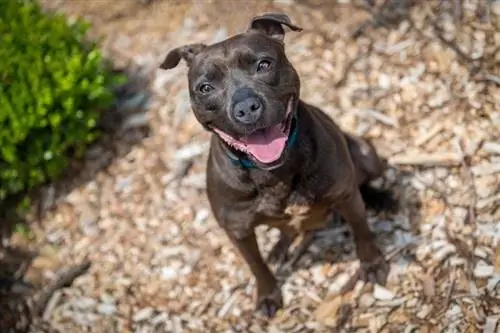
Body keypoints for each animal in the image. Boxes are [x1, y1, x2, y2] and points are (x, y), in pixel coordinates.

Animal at [162, 12, 396, 316]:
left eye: (264, 64)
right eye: (205, 88)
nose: (246, 107)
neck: (273, 173)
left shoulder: (345, 195)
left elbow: (362, 231)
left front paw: (372, 263)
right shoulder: (238, 231)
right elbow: (256, 266)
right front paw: (267, 295)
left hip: (366, 153)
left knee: (363, 183)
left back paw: (382, 198)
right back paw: (279, 248)